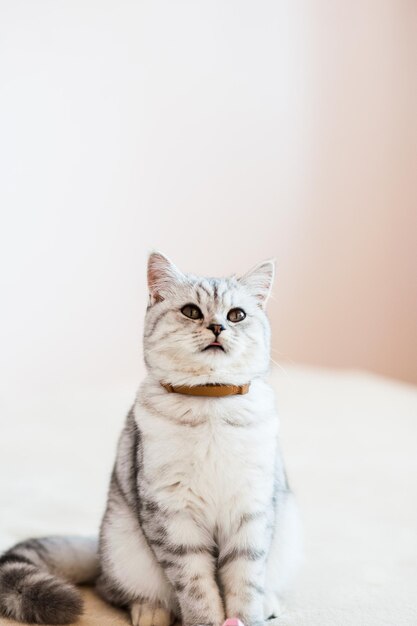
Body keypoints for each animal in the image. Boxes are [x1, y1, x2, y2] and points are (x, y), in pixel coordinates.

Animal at [0, 251, 302, 620]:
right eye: (191, 311)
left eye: (236, 315)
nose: (217, 327)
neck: (210, 404)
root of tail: (98, 546)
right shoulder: (173, 513)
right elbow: (197, 589)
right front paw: (206, 620)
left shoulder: (251, 509)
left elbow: (245, 583)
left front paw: (247, 618)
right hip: (124, 549)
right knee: (110, 589)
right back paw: (150, 611)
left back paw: (268, 603)